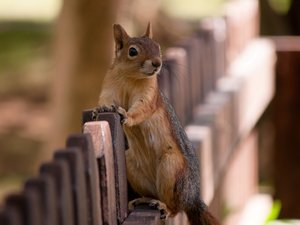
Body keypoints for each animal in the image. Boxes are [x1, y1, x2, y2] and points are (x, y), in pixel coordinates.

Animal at [97, 23, 219, 225]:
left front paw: (127, 115)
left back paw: (165, 207)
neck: (130, 77)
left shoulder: (149, 95)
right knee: (153, 193)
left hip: (172, 169)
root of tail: (193, 197)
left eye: (158, 47)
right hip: (133, 166)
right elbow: (105, 100)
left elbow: (142, 109)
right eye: (132, 51)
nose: (157, 63)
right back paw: (144, 199)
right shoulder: (109, 87)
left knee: (176, 207)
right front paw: (100, 109)